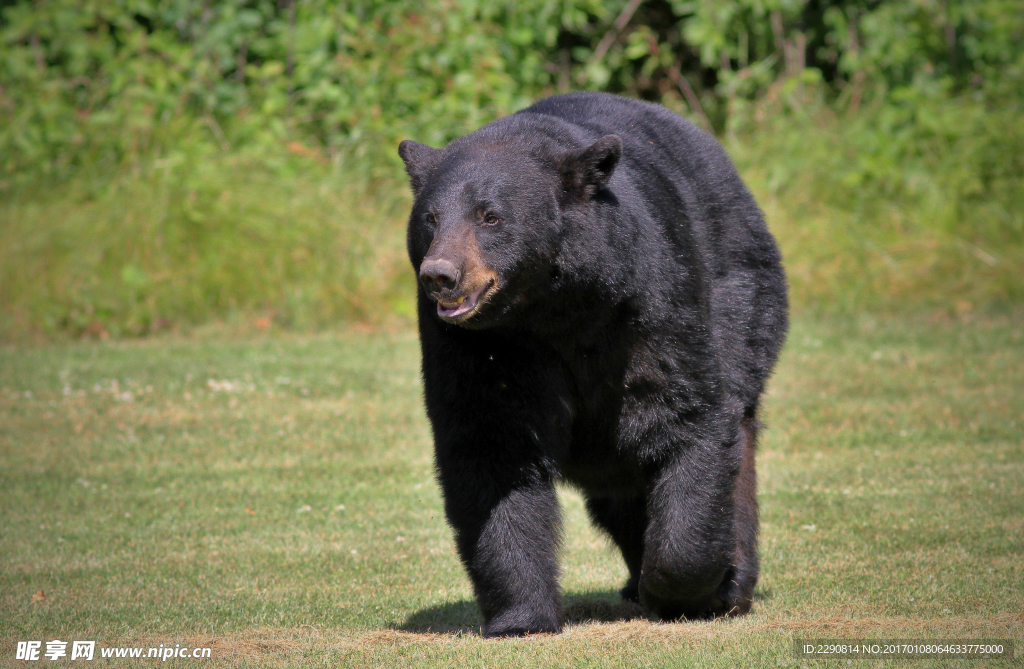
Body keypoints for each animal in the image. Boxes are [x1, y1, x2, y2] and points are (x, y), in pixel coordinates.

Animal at [398, 91, 788, 638]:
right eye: (430, 218)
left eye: (490, 215)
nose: (440, 275)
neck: (553, 306)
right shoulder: (478, 345)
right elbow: (491, 446)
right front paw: (521, 616)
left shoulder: (651, 302)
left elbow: (686, 415)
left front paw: (683, 589)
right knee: (617, 482)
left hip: (742, 294)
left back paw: (731, 581)